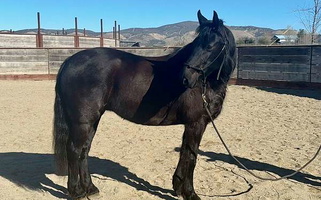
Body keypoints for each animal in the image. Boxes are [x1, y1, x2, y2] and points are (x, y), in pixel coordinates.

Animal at [53, 10, 235, 199]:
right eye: (197, 43)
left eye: (211, 45)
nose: (185, 78)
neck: (205, 84)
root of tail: (69, 61)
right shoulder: (196, 123)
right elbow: (191, 157)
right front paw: (190, 193)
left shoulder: (192, 125)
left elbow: (184, 154)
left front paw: (178, 187)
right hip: (82, 122)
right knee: (74, 150)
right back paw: (76, 191)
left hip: (92, 121)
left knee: (84, 149)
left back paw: (90, 188)